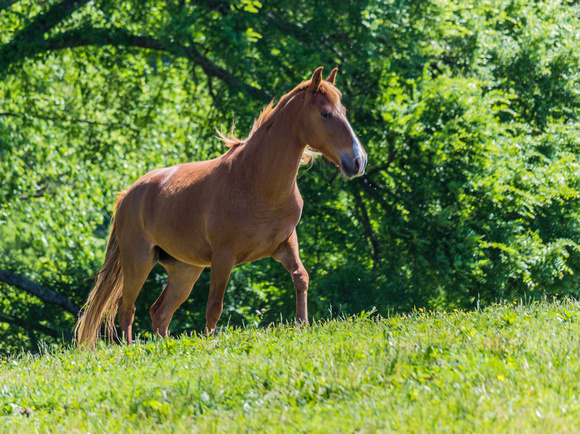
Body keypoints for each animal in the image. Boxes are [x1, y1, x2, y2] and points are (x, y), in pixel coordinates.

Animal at [75, 66, 368, 348]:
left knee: (159, 312)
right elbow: (214, 307)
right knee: (127, 309)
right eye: (326, 114)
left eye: (343, 112)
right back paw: (131, 348)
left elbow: (301, 278)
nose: (358, 161)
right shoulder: (223, 257)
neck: (257, 182)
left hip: (184, 270)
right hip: (139, 261)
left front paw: (302, 325)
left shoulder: (285, 243)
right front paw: (210, 343)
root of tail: (128, 195)